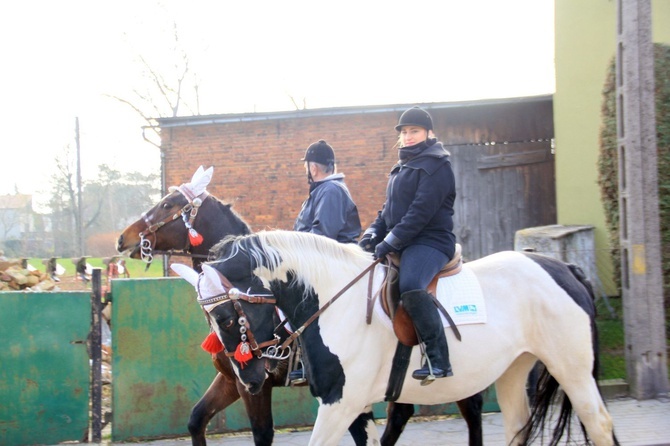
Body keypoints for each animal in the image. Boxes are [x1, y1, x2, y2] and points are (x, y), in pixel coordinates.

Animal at [117, 166, 484, 444]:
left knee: (470, 406)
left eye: (168, 204)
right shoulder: (232, 379)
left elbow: (263, 434)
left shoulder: (256, 384)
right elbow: (195, 420)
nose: (124, 238)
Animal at [172, 232, 620, 444]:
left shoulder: (340, 402)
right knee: (515, 427)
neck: (332, 302)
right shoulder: (351, 404)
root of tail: (562, 267)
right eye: (210, 320)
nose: (249, 378)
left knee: (598, 424)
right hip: (512, 370)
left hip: (571, 369)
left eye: (227, 316)